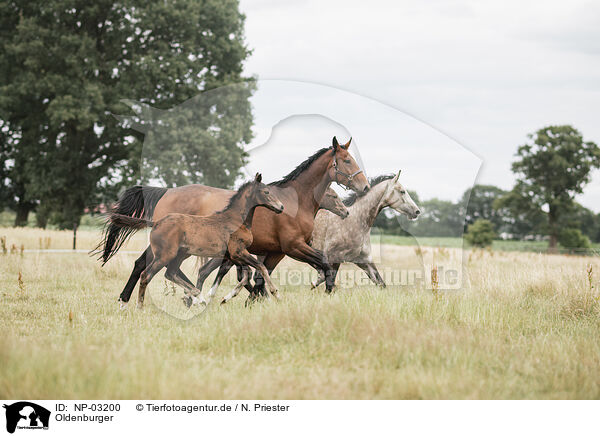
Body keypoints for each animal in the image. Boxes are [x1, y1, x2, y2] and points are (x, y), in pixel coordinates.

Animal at [97, 138, 370, 304]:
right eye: (347, 160)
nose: (365, 186)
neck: (294, 202)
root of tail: (165, 191)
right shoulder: (292, 247)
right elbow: (323, 263)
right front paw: (328, 292)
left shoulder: (274, 251)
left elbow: (258, 276)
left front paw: (254, 300)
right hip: (172, 248)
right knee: (146, 266)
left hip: (181, 249)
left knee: (153, 266)